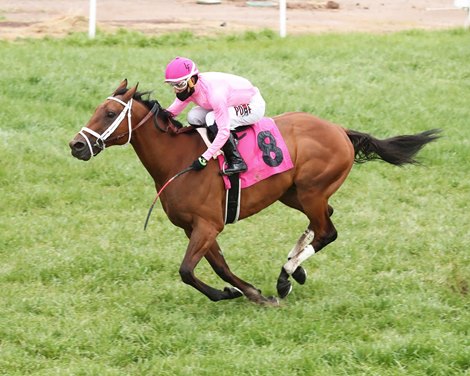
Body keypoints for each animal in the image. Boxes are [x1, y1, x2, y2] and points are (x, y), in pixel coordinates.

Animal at [68, 79, 438, 306]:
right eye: (97, 109)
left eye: (110, 113)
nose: (76, 146)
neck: (178, 161)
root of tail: (339, 130)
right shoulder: (196, 227)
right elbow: (218, 266)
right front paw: (244, 291)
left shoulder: (207, 225)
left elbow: (187, 270)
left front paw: (243, 293)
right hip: (294, 192)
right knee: (322, 222)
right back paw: (293, 269)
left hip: (312, 190)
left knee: (327, 230)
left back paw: (286, 276)